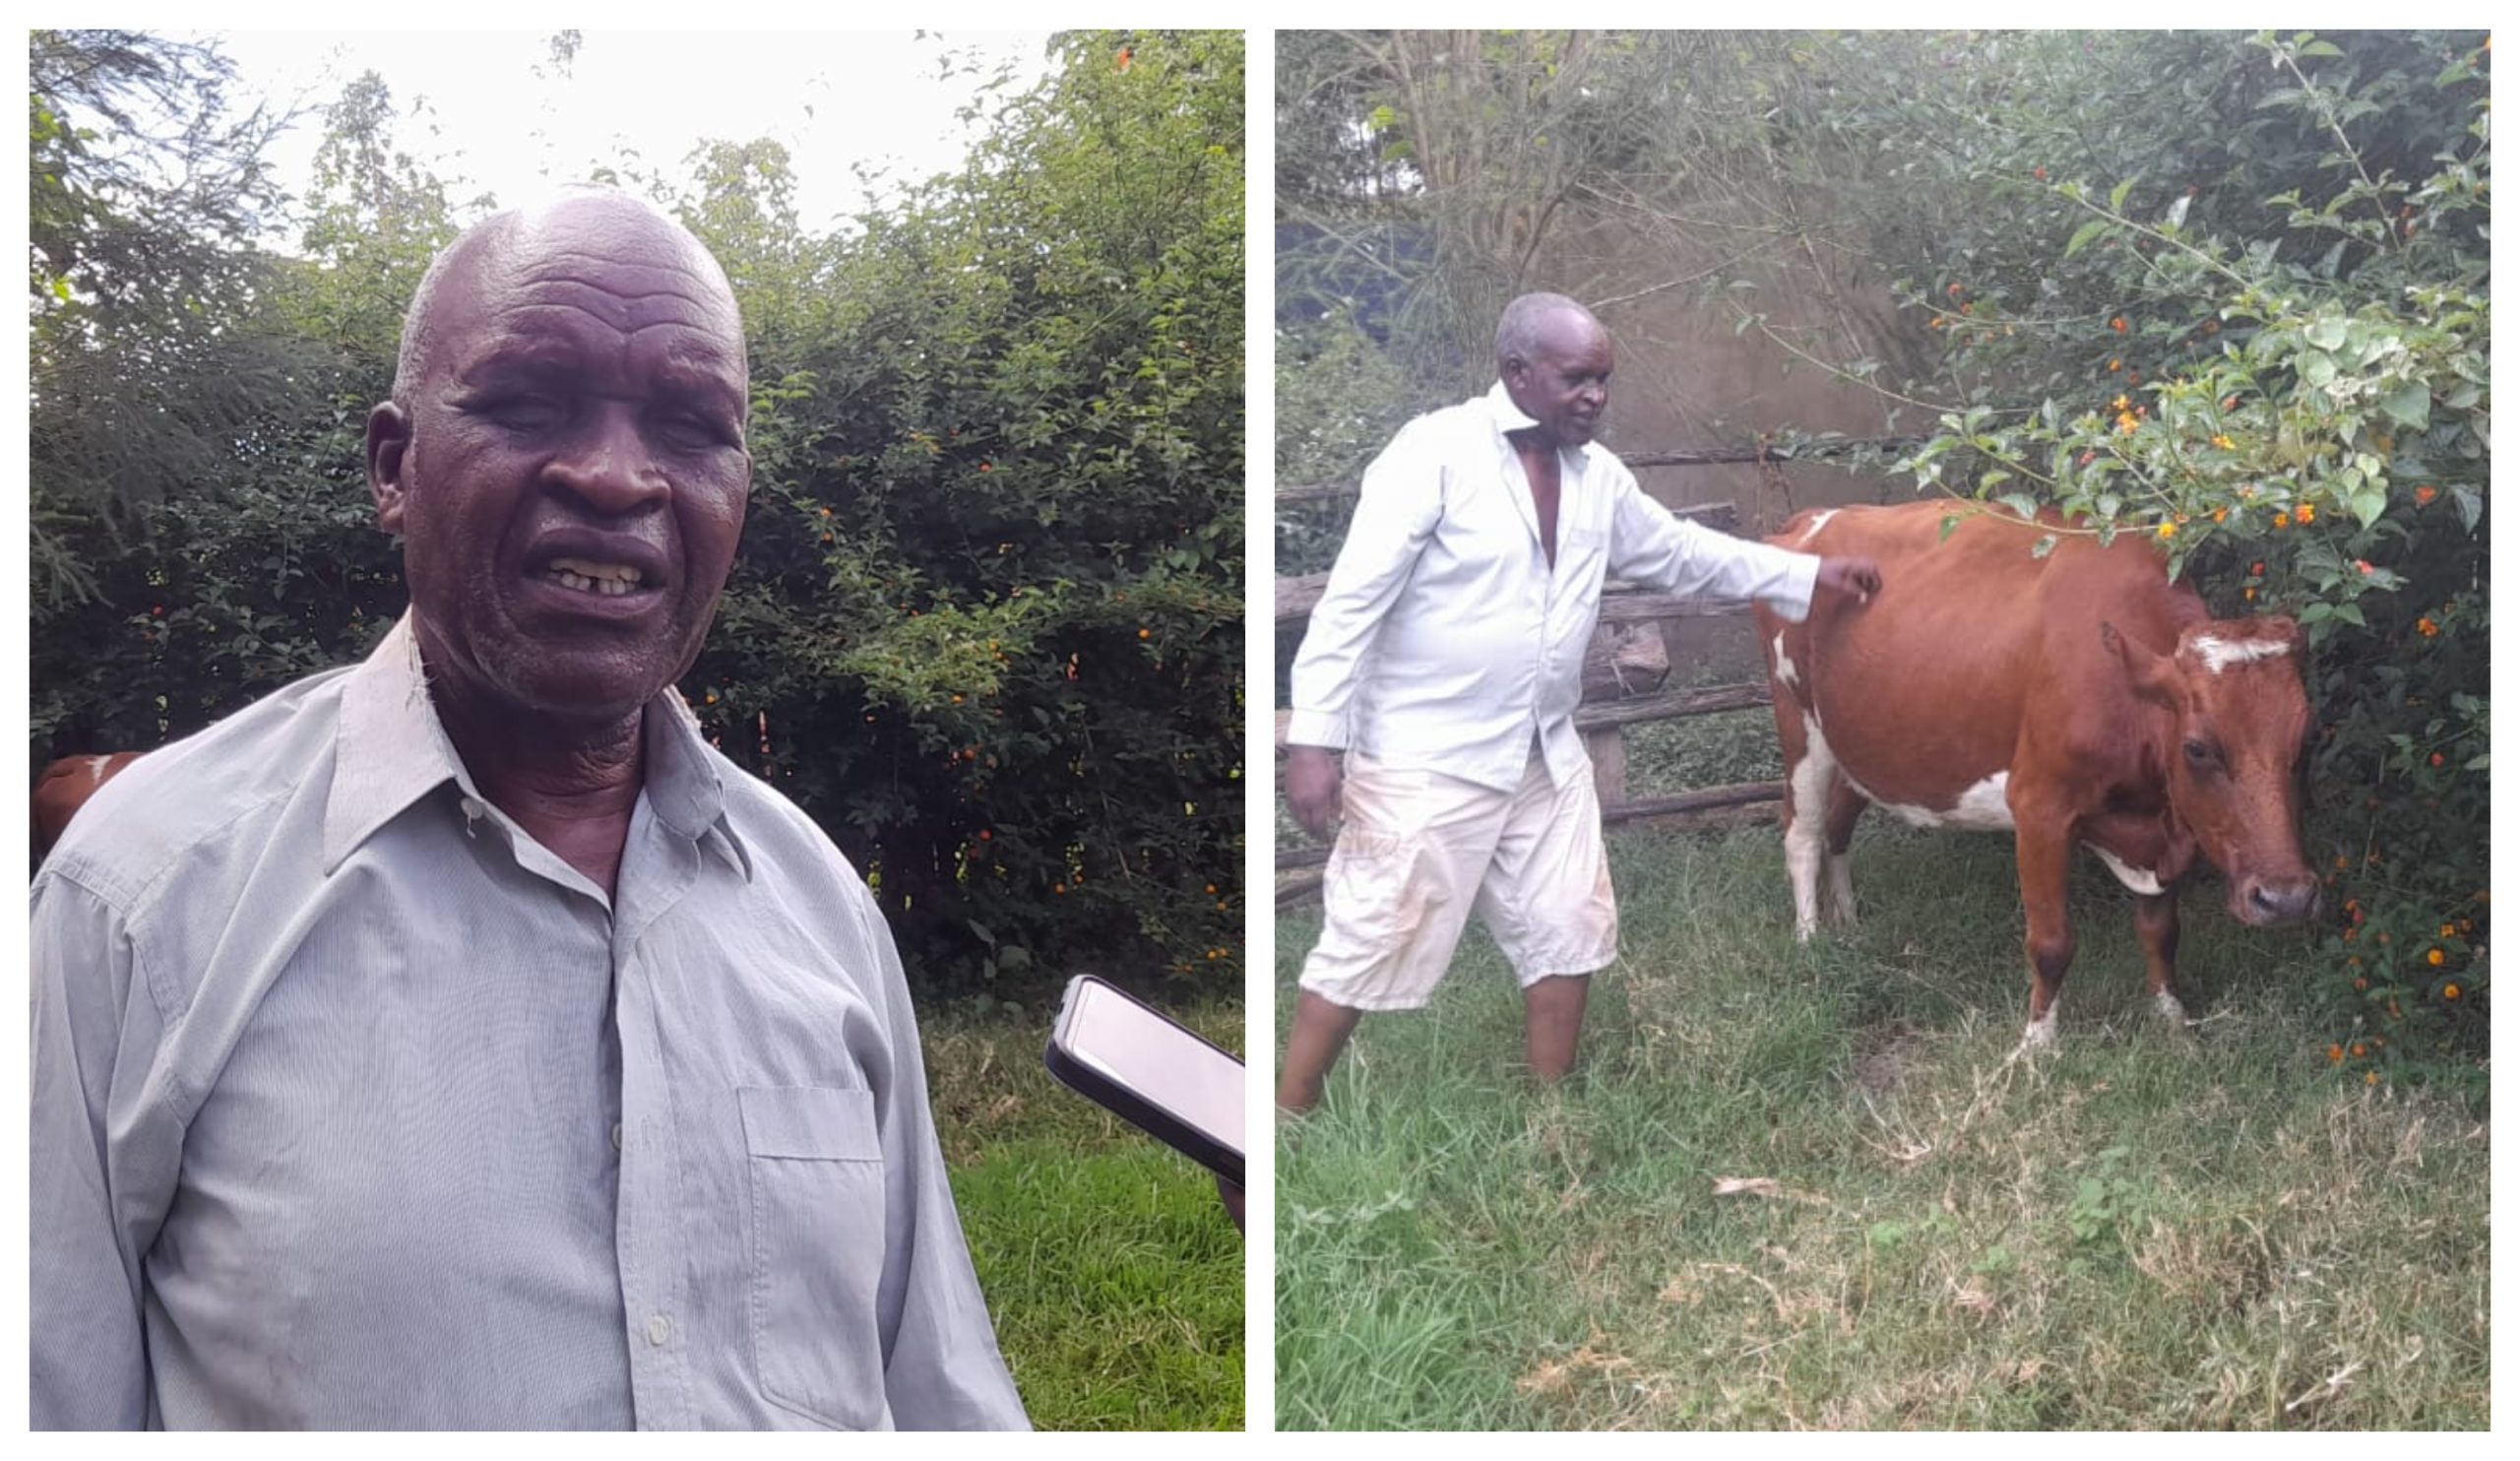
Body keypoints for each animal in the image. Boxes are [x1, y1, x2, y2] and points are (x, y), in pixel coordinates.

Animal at [1752, 500, 2318, 1048]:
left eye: (2303, 740)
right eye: (2197, 749)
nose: (2287, 899)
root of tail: (1811, 518)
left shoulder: (2158, 824)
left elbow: (2161, 930)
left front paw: (2171, 1016)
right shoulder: (2039, 807)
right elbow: (2051, 944)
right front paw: (2036, 1046)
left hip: (1859, 742)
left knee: (1838, 824)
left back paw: (1846, 918)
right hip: (1797, 722)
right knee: (1802, 832)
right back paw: (1810, 939)